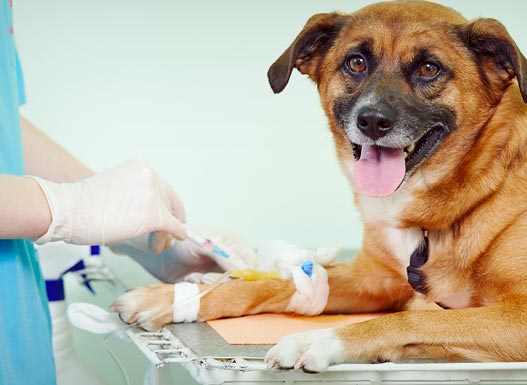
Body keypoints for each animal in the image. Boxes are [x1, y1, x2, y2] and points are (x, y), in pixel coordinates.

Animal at [111, 0, 527, 372]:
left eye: (429, 68)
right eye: (356, 62)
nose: (372, 121)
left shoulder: (516, 315)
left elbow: (413, 319)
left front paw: (319, 339)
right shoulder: (373, 279)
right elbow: (279, 283)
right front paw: (173, 297)